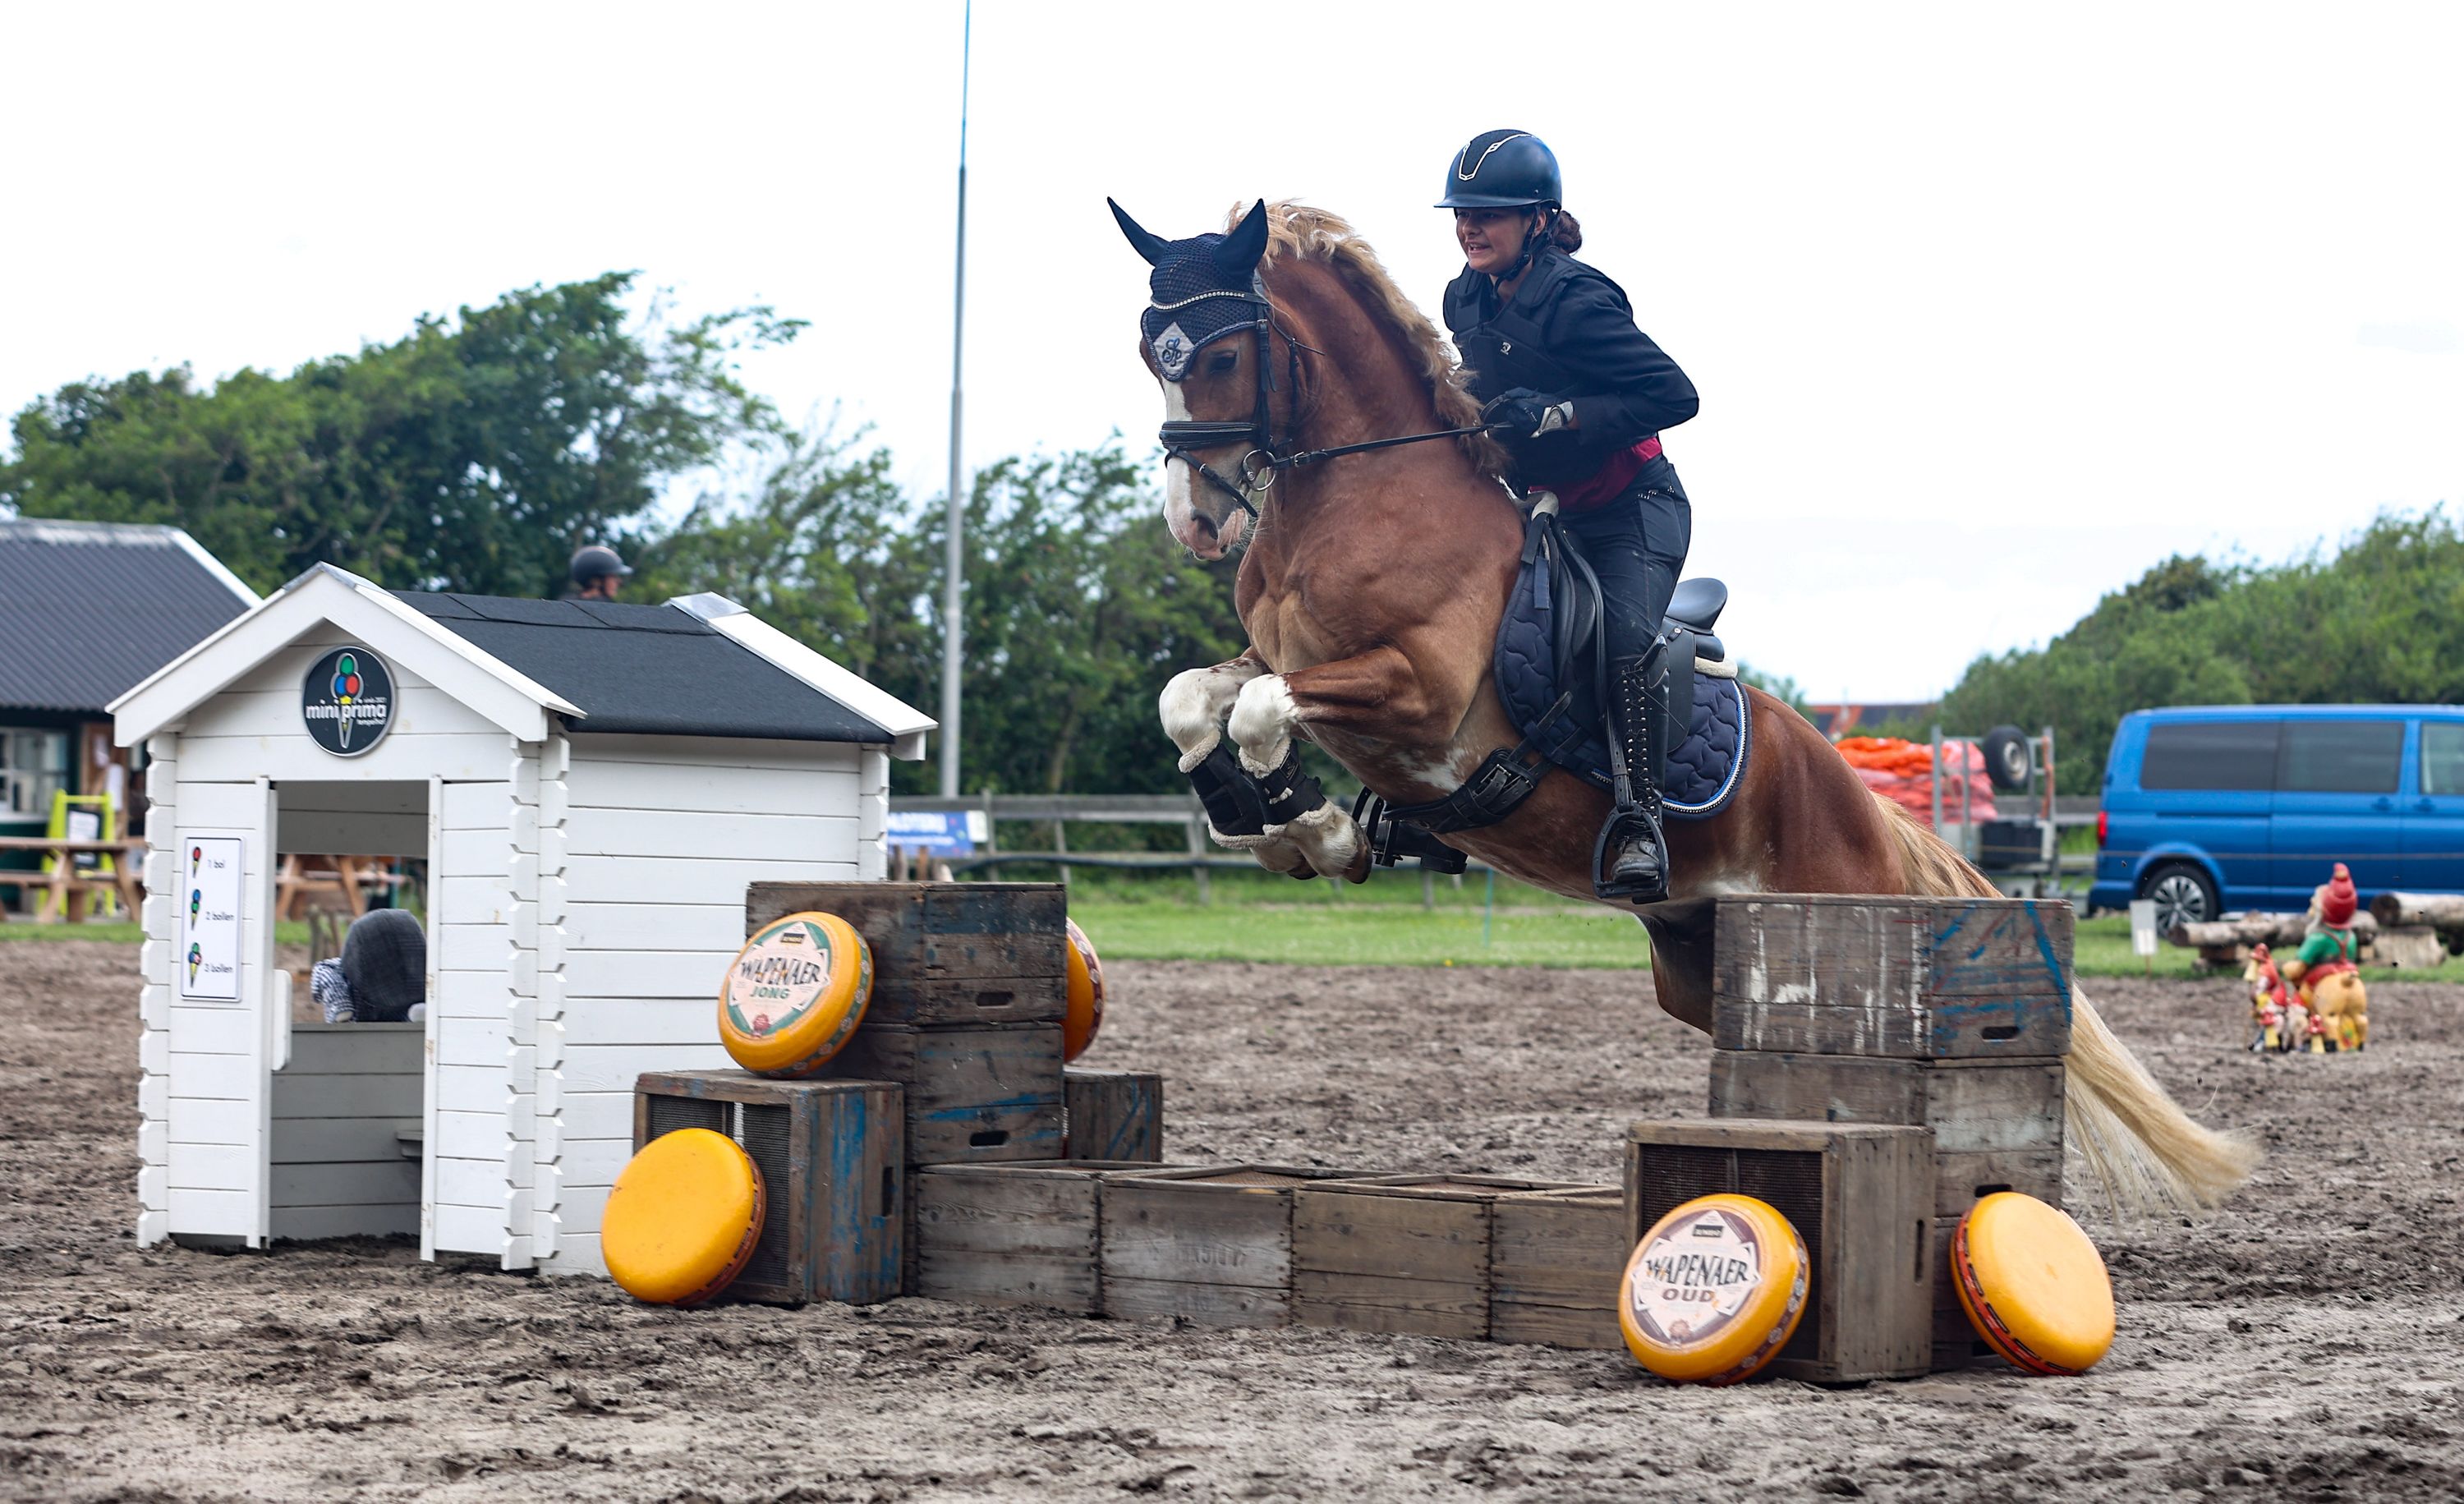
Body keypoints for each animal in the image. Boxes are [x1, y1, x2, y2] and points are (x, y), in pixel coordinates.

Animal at [1115, 198, 2256, 1212]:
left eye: (1222, 356)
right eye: (1149, 352)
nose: (1198, 520)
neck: (1358, 497)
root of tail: (1858, 797)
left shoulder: (1416, 693)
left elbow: (1262, 711)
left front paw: (1307, 826)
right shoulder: (1277, 660)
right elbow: (1193, 701)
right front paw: (1263, 817)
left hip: (1828, 903)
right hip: (1700, 962)